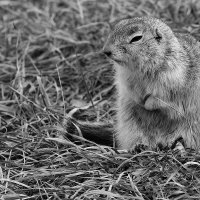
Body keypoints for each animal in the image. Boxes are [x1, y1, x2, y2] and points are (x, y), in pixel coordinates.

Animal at [67, 17, 200, 151]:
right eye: (116, 27)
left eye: (136, 38)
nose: (106, 51)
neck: (140, 69)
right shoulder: (125, 80)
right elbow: (130, 91)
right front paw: (139, 101)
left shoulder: (172, 81)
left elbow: (163, 99)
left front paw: (147, 104)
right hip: (130, 126)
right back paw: (140, 146)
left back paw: (174, 142)